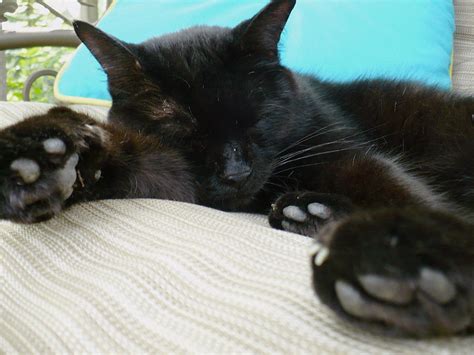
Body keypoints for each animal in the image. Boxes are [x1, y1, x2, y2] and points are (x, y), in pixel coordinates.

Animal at [0, 0, 474, 340]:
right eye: (182, 127)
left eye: (256, 116)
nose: (235, 171)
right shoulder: (166, 172)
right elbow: (122, 153)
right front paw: (42, 158)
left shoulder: (349, 152)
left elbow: (400, 192)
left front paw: (400, 256)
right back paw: (309, 211)